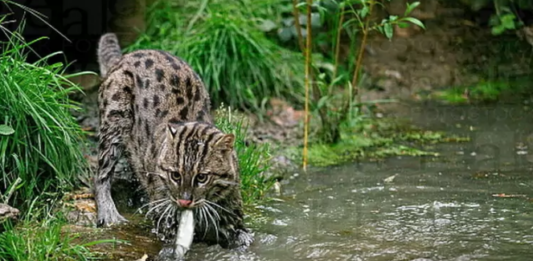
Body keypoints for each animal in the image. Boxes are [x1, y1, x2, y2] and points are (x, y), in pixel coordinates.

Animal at [94, 32, 252, 258]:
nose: (184, 201)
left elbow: (242, 235)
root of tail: (124, 57)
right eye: (175, 175)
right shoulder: (164, 213)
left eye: (202, 177)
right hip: (115, 119)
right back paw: (109, 212)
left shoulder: (232, 210)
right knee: (101, 173)